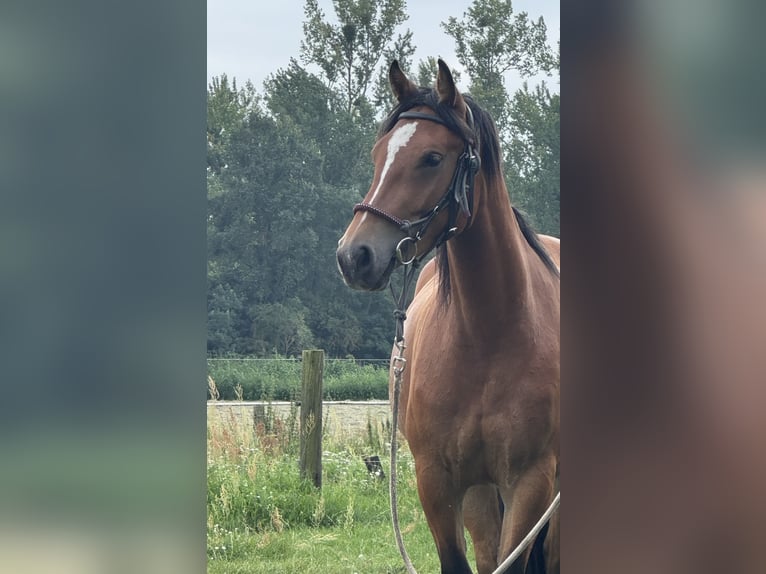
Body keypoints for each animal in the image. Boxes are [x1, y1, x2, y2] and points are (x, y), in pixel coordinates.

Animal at [336, 59, 560, 574]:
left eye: (432, 158)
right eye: (378, 154)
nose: (353, 255)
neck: (487, 335)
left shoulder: (532, 481)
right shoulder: (437, 481)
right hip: (480, 493)